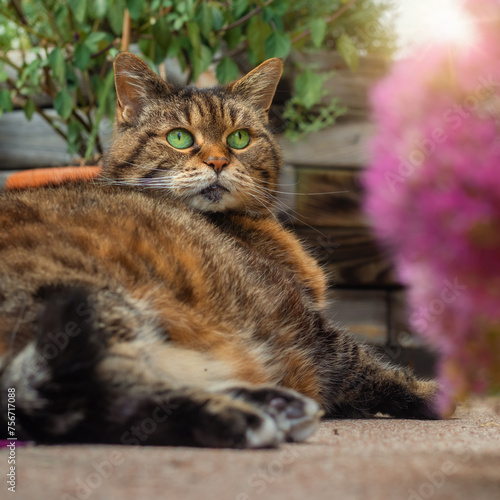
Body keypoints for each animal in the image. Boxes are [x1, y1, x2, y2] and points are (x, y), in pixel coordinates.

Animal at [0, 52, 442, 448]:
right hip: (93, 305)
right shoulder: (296, 315)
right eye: (179, 137)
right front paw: (432, 392)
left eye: (239, 138)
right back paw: (246, 418)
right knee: (92, 394)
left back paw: (274, 405)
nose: (217, 162)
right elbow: (364, 363)